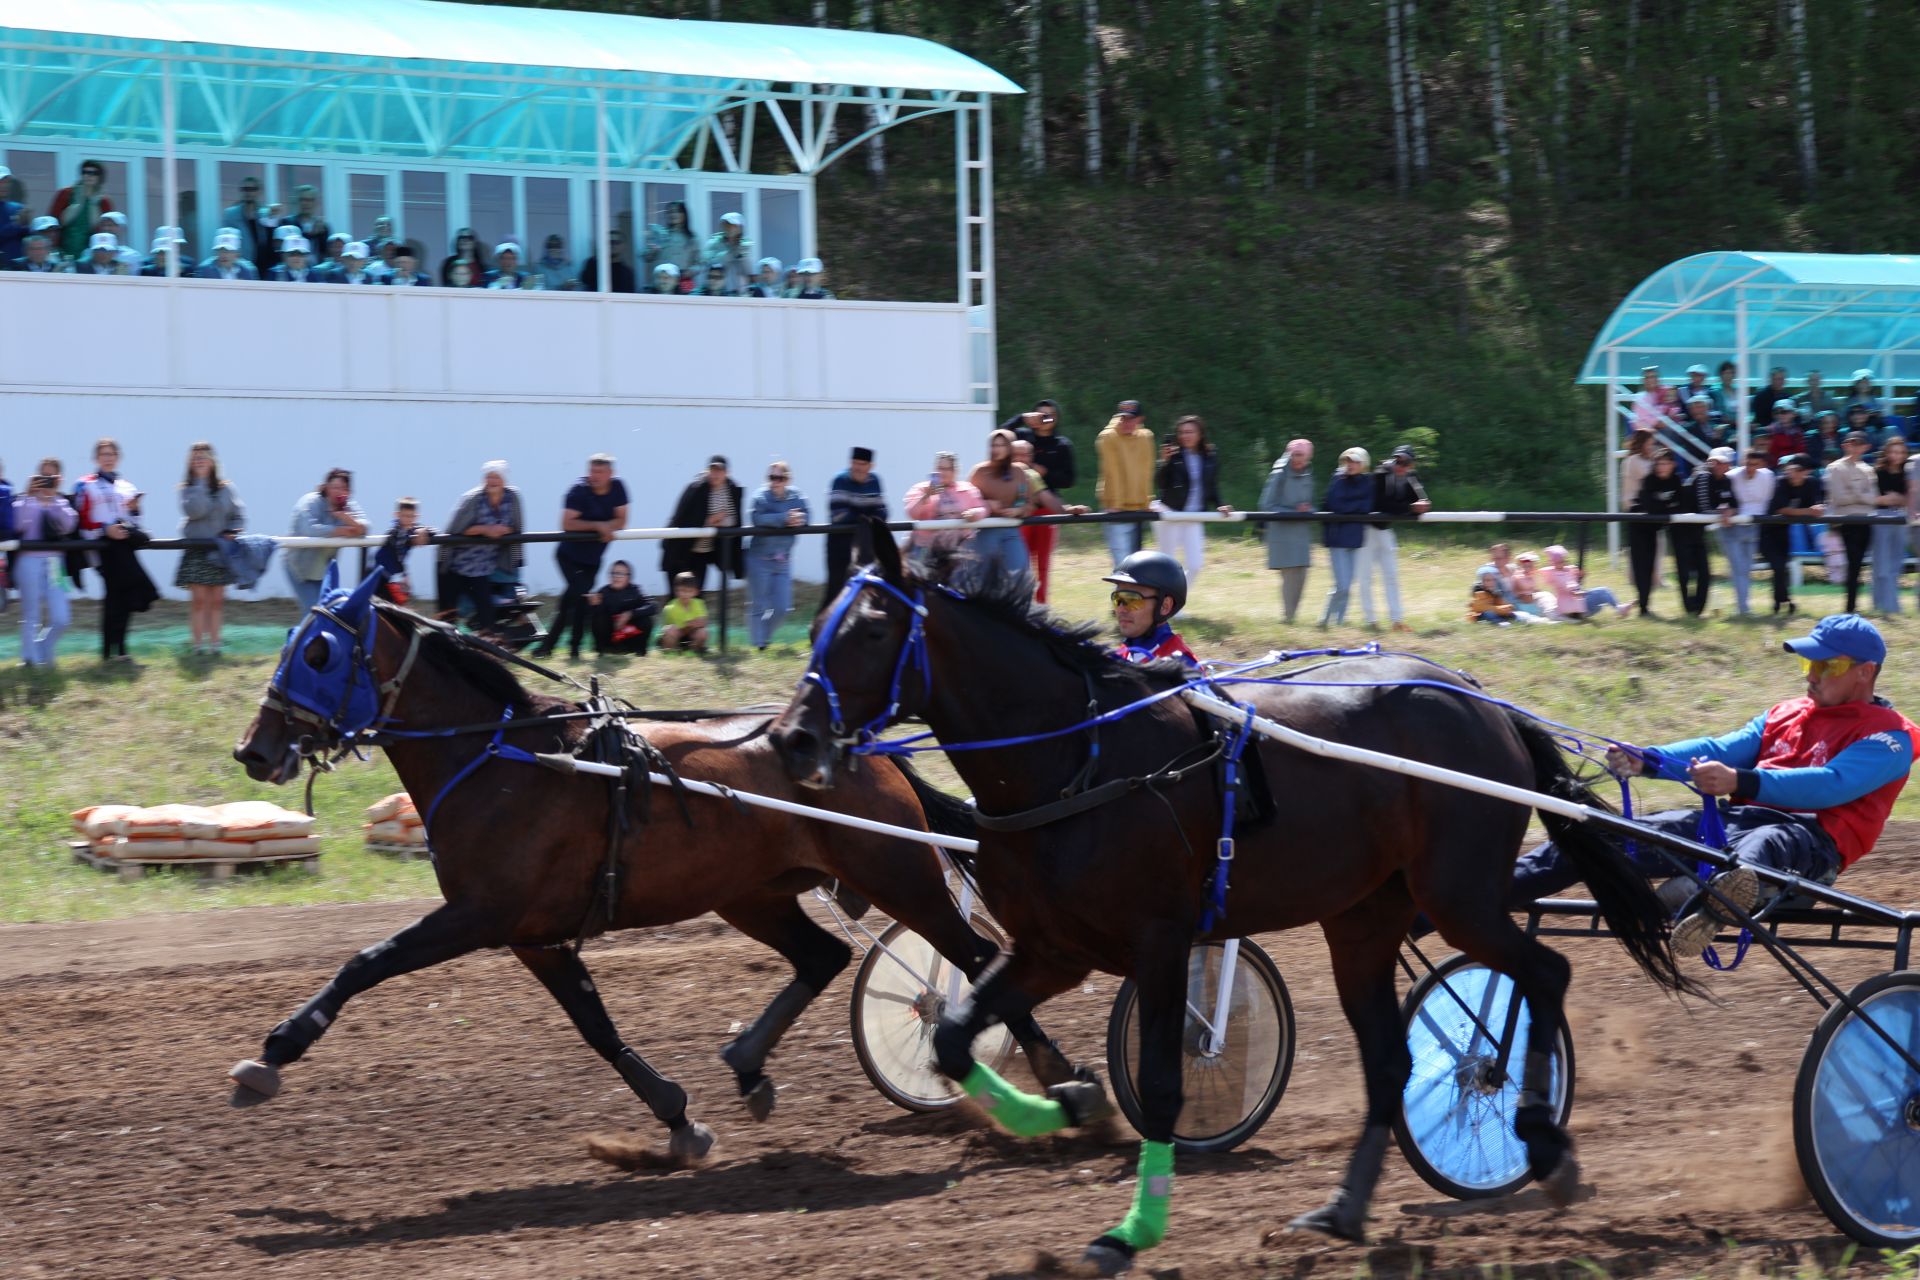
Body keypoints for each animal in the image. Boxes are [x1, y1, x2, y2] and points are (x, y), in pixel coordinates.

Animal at [230, 571, 1090, 1174]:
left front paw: (271, 1054)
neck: (502, 761)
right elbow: (596, 1026)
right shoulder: (535, 936)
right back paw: (748, 1065)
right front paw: (679, 1119)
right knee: (825, 955)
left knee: (976, 959)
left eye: (317, 651)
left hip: (895, 872)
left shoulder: (480, 915)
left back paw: (1063, 1078)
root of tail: (862, 747)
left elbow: (365, 961)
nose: (254, 750)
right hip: (751, 893)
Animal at [771, 537, 1689, 1274]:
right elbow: (955, 1037)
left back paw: (1539, 1133)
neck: (1081, 758)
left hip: (1458, 895)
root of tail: (1478, 698)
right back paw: (1345, 1210)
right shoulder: (1050, 948)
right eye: (817, 628)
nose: (792, 738)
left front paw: (1131, 1230)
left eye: (873, 630)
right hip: (1364, 919)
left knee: (1545, 969)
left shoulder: (1161, 942)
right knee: (1391, 1059)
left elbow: (1163, 1084)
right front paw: (1066, 1104)